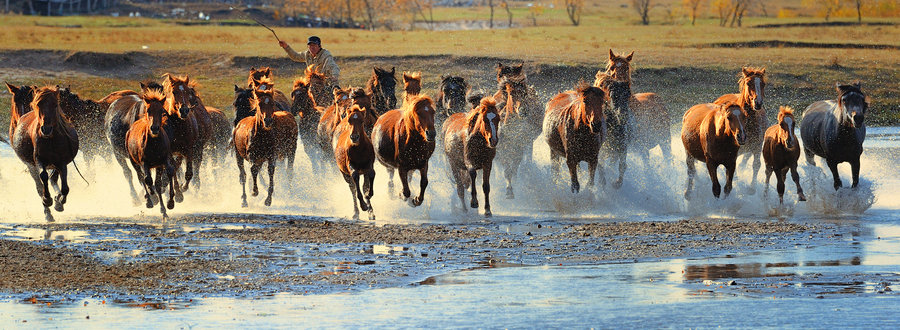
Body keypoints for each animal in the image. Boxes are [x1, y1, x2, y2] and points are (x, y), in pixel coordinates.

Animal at [11, 87, 79, 222]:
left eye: (55, 104)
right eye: (38, 104)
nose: (46, 129)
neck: (51, 139)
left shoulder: (61, 162)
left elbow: (65, 187)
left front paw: (60, 201)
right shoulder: (39, 160)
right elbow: (43, 177)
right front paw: (48, 200)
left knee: (53, 179)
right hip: (31, 166)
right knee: (40, 186)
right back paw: (48, 213)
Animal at [125, 87, 177, 218]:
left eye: (162, 111)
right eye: (148, 110)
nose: (154, 128)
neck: (154, 144)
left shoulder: (163, 160)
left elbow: (167, 175)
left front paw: (169, 204)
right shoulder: (144, 162)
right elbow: (147, 179)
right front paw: (151, 197)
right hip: (134, 162)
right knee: (141, 177)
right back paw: (149, 200)